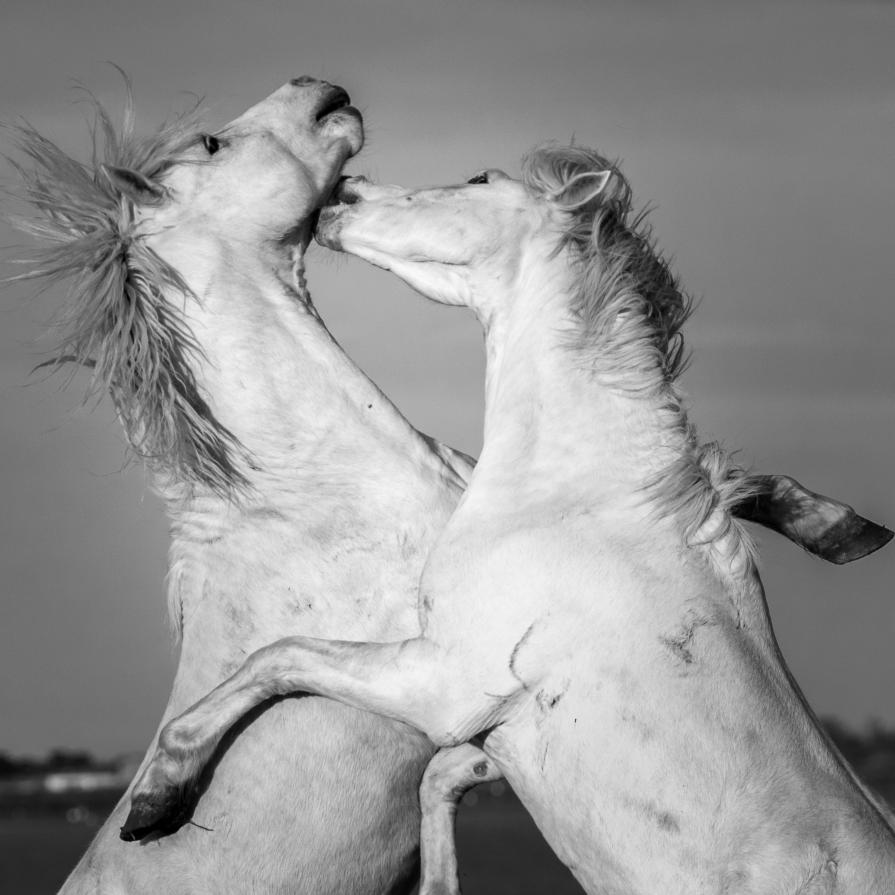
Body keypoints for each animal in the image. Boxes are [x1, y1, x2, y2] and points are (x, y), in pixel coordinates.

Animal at [9, 79, 889, 893]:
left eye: (474, 178)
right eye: (213, 143)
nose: (320, 93)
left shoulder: (441, 680)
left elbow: (279, 655)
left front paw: (158, 792)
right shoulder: (437, 680)